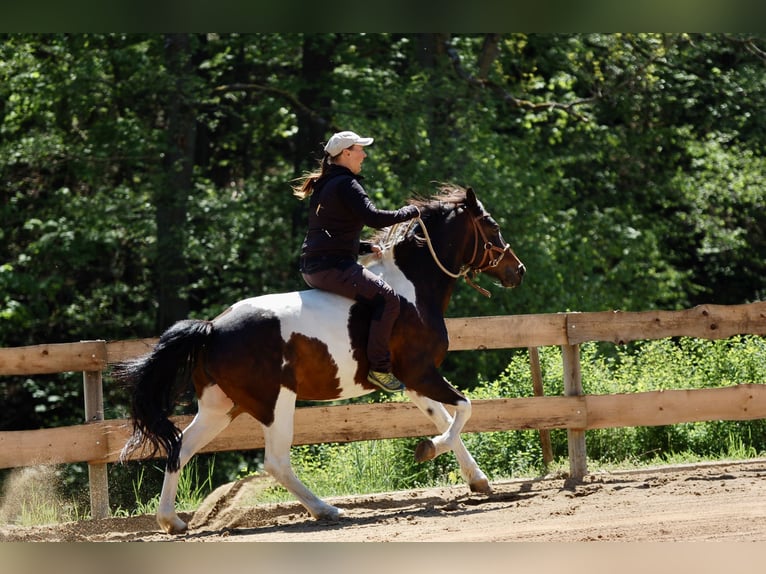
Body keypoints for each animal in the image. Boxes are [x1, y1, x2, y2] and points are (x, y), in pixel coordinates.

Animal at [115, 187, 520, 536]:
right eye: (493, 227)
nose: (519, 271)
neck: (412, 290)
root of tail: (212, 328)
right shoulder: (422, 374)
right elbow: (463, 410)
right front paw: (429, 449)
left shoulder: (415, 383)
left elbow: (447, 419)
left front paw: (477, 480)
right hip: (275, 403)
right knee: (275, 461)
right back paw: (325, 509)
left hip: (220, 407)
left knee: (180, 448)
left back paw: (171, 521)